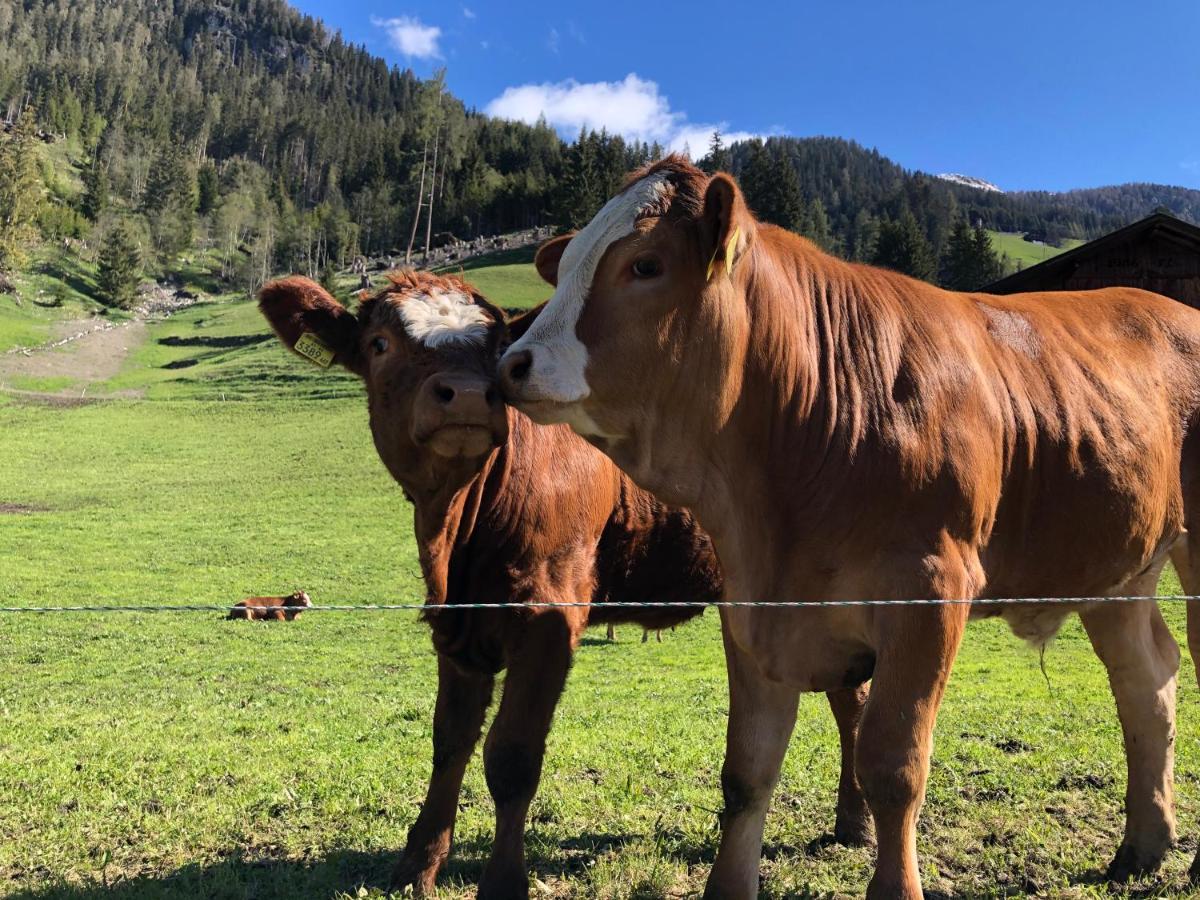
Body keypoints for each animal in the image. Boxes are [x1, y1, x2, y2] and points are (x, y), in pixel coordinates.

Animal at [499, 154, 1200, 900]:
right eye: (568, 265)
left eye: (646, 265)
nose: (514, 362)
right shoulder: (750, 608)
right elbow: (746, 772)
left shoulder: (929, 592)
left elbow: (892, 767)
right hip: (1117, 568)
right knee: (1147, 681)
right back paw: (1143, 847)